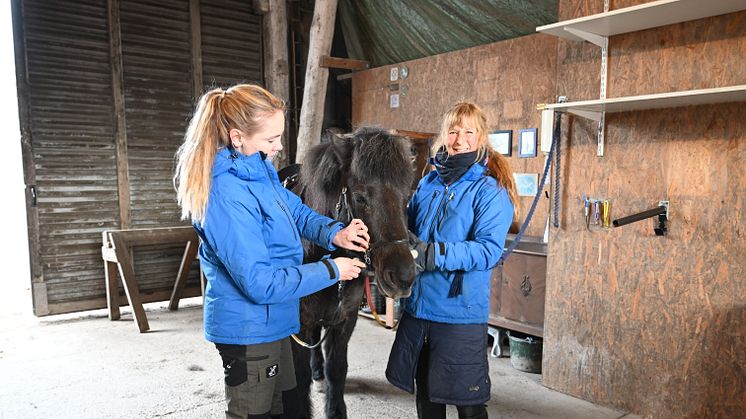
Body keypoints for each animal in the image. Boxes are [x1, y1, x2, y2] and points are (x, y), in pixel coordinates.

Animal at [290, 128, 416, 419]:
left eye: (407, 197)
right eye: (360, 197)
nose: (402, 275)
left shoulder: (345, 318)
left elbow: (336, 369)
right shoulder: (298, 322)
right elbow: (298, 378)